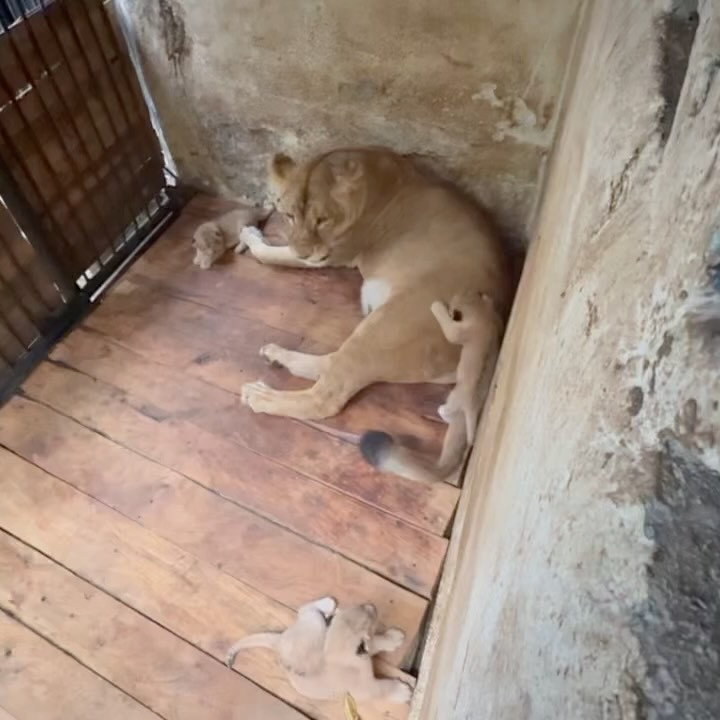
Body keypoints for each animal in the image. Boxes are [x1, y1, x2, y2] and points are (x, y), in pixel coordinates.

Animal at [226, 596, 411, 704]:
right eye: (369, 619)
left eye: (359, 606)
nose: (371, 605)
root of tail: (279, 640)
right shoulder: (365, 689)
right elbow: (382, 689)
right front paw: (402, 692)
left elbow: (376, 642)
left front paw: (393, 638)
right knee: (304, 608)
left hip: (318, 626)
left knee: (306, 610)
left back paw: (328, 603)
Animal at [237, 147, 514, 481]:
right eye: (290, 215)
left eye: (322, 220)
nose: (304, 251)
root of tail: (491, 336)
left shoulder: (331, 254)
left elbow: (269, 254)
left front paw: (250, 235)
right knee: (330, 365)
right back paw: (276, 356)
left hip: (386, 326)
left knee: (325, 397)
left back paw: (260, 395)